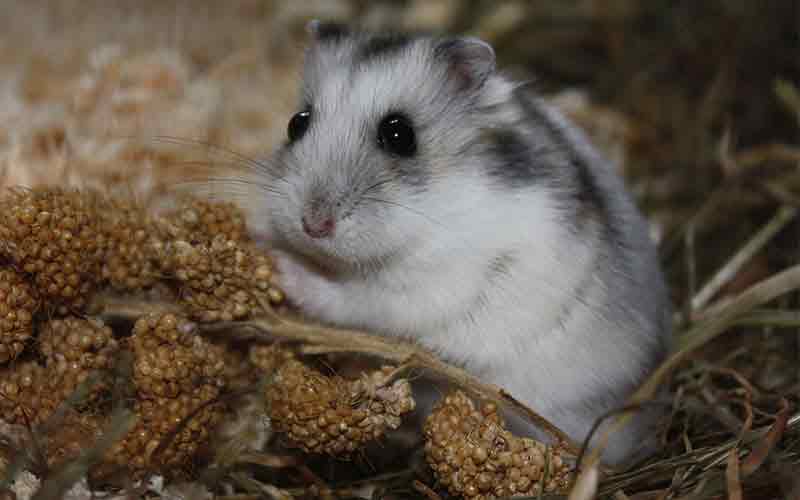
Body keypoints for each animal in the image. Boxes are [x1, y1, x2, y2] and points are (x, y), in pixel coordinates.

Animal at [247, 22, 672, 468]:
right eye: (296, 123)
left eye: (399, 134)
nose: (312, 225)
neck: (429, 212)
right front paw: (257, 232)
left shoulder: (421, 288)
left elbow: (345, 298)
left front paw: (279, 263)